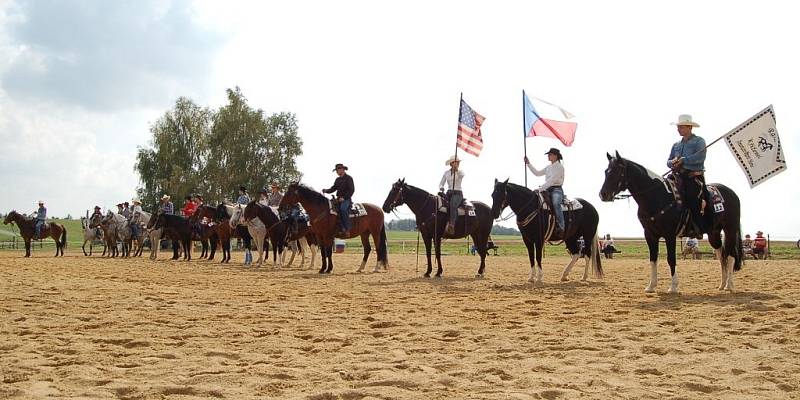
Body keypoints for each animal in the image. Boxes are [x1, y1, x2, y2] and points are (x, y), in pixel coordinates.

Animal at [600, 152, 744, 292]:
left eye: (617, 171)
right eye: (606, 171)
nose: (603, 194)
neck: (657, 196)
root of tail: (732, 194)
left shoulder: (670, 235)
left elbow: (671, 259)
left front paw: (673, 287)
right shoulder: (650, 235)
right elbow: (653, 259)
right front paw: (651, 286)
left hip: (730, 229)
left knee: (730, 255)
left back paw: (729, 285)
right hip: (714, 233)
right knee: (721, 256)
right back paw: (722, 284)